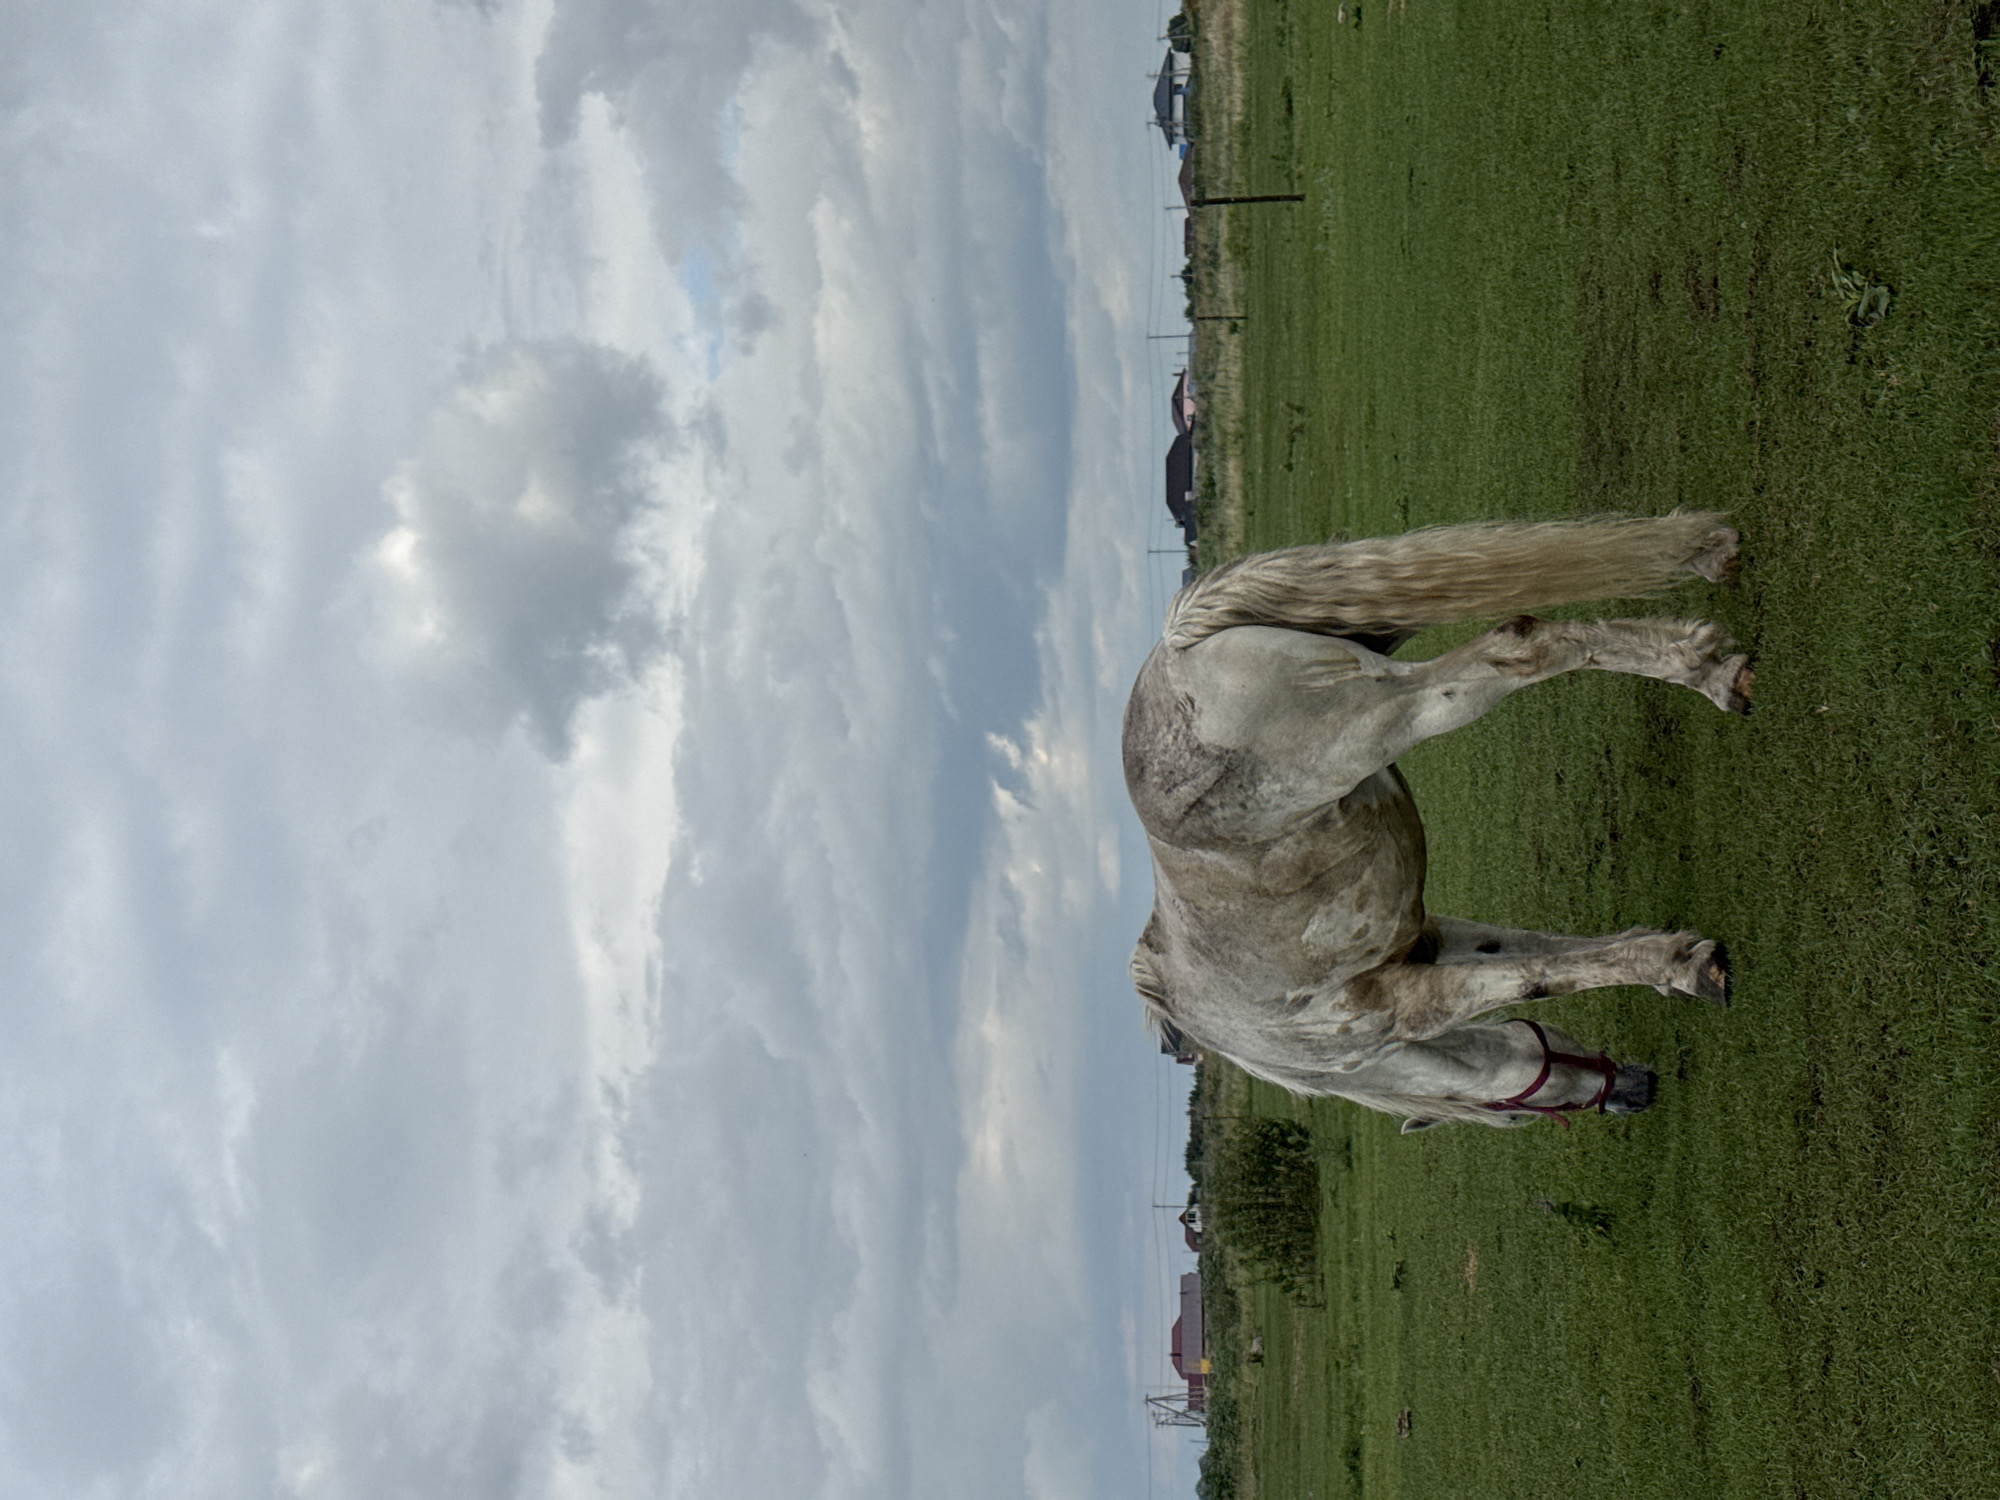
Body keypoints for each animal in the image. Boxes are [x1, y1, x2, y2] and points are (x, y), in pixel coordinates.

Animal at [1123, 512, 1749, 1132]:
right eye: (1522, 1117)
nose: (1637, 1090)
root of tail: (1175, 648)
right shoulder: (1432, 951)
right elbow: (1539, 961)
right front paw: (1665, 954)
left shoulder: (1408, 1003)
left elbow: (1535, 977)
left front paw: (1681, 967)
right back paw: (1706, 604)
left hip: (1399, 706)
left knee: (1520, 647)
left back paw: (1710, 668)